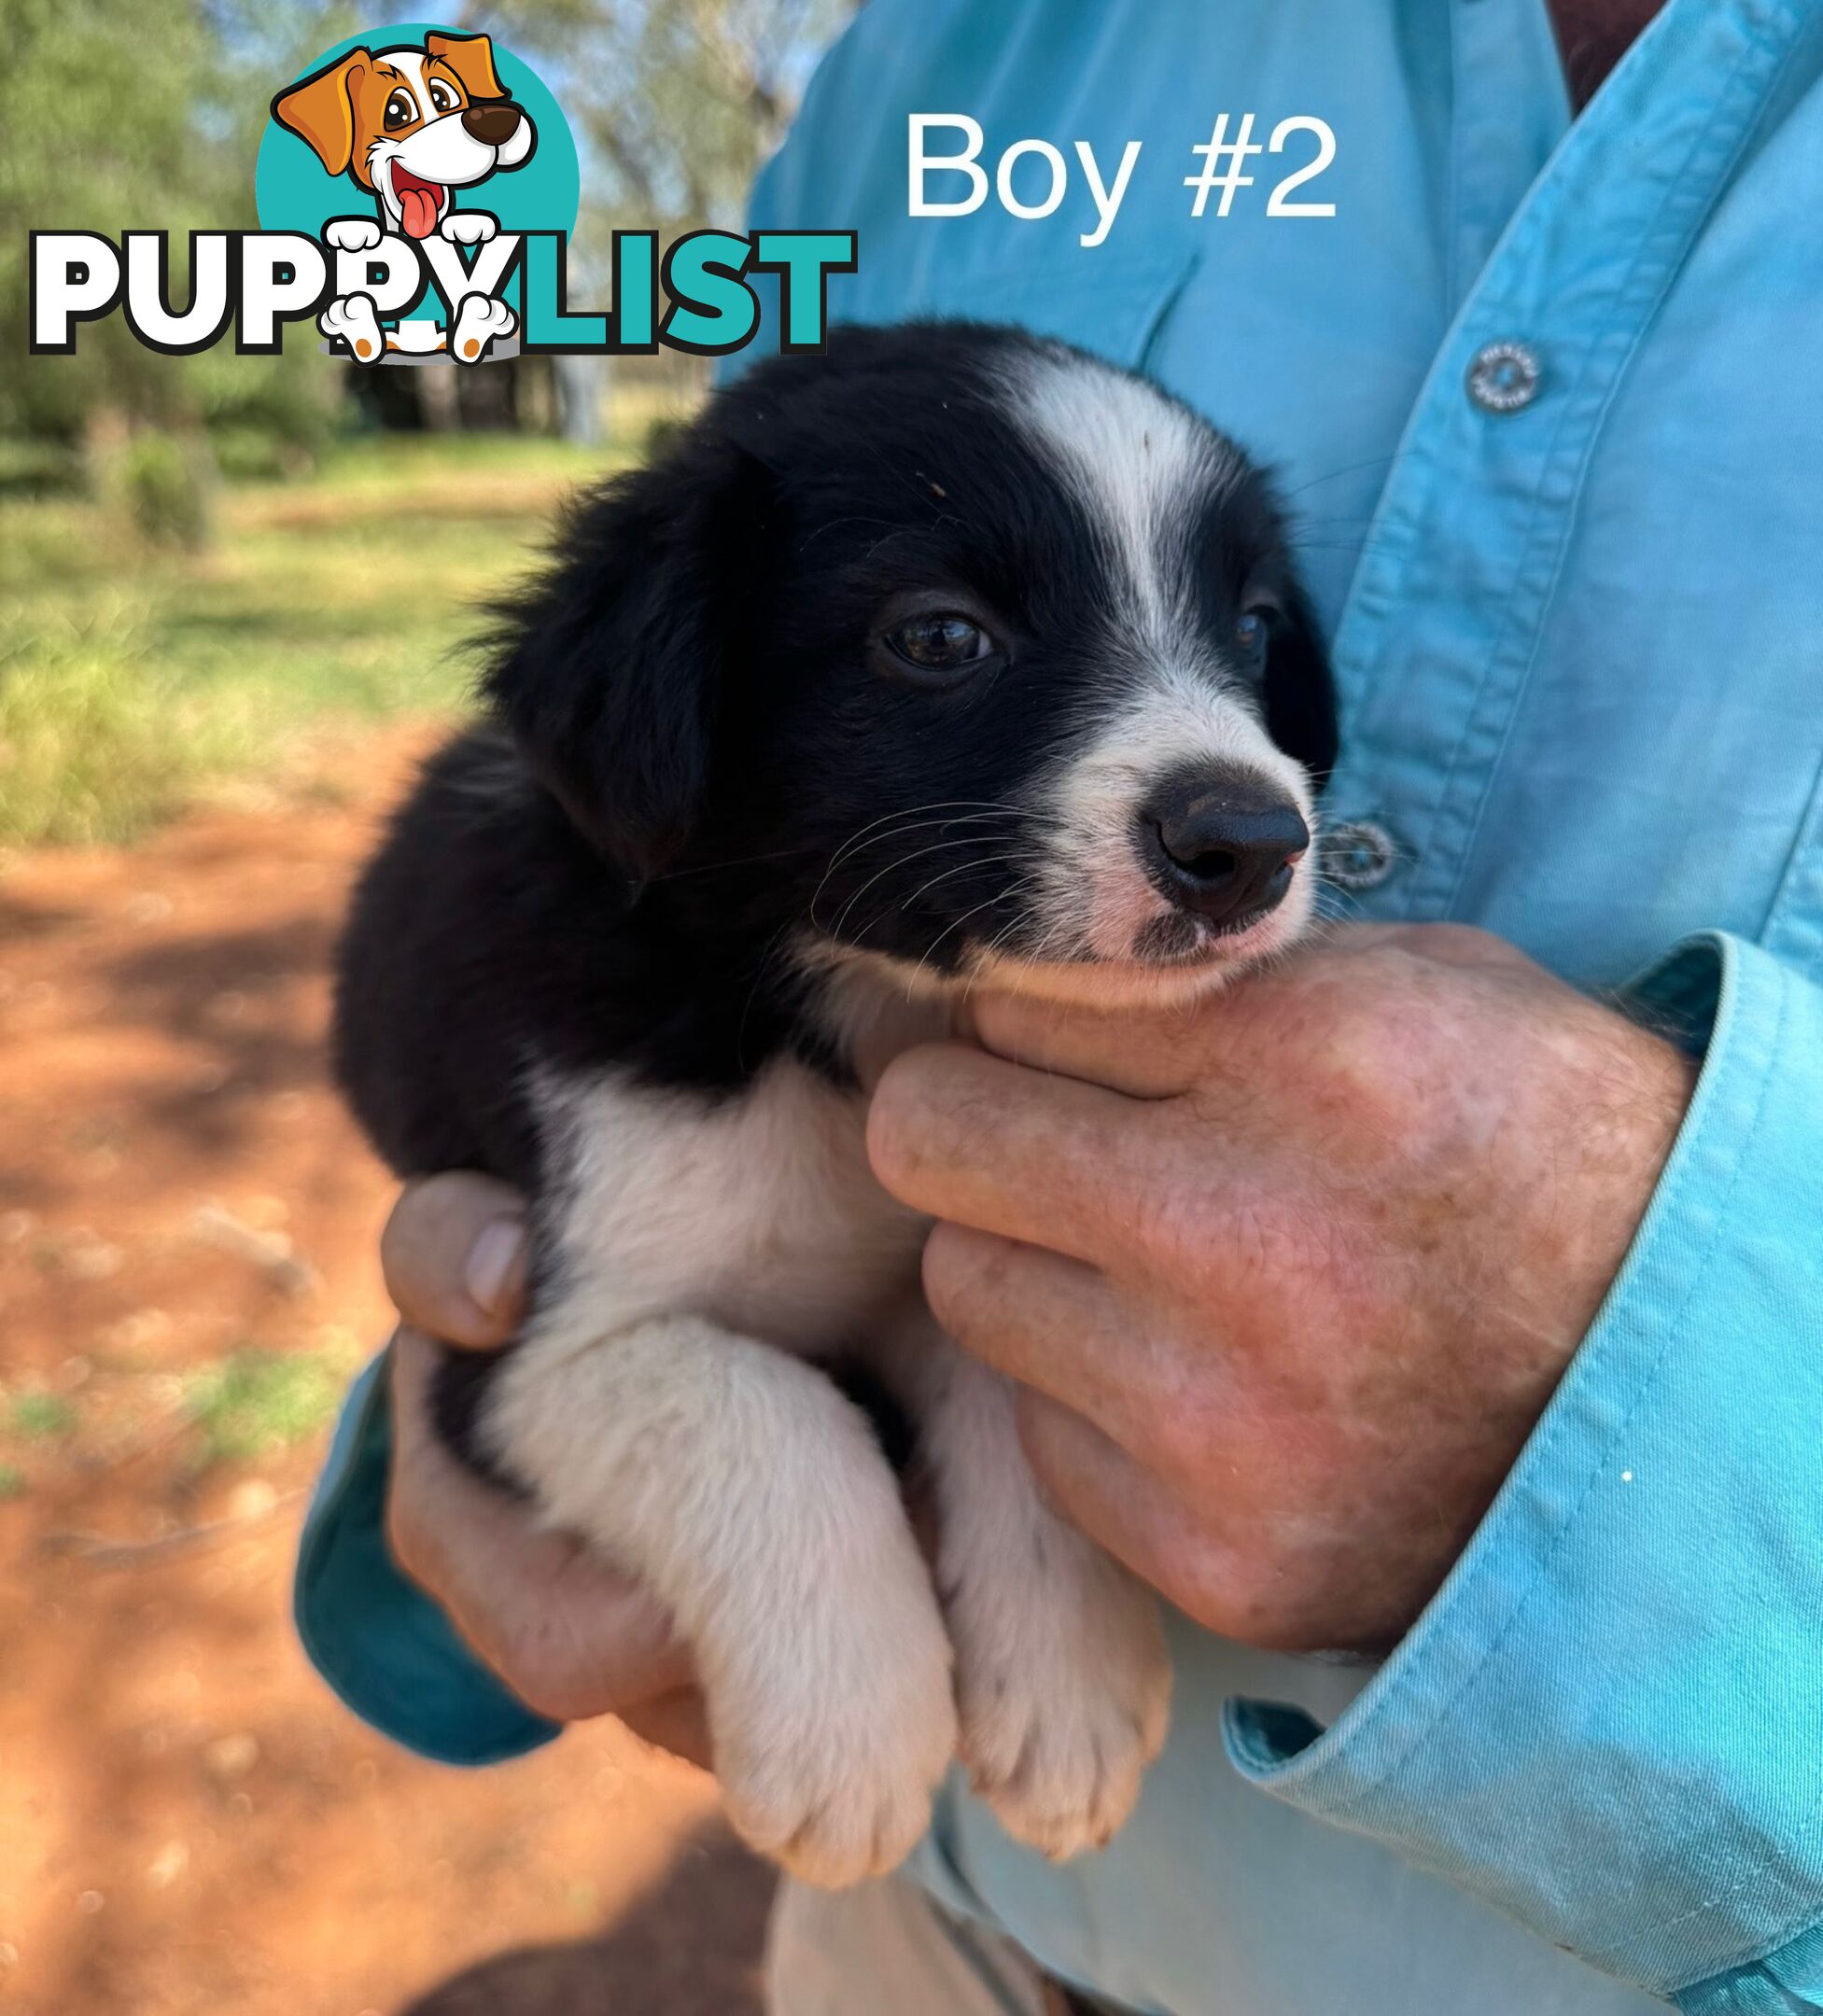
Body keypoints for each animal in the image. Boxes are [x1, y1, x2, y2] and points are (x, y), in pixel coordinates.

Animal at [334, 318, 1339, 1886]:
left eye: (1248, 625)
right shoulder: (511, 1348)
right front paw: (850, 1737)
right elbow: (768, 1411)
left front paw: (1067, 1688)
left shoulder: (972, 1245)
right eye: (938, 637)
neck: (847, 1013)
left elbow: (1014, 1397)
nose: (1248, 842)